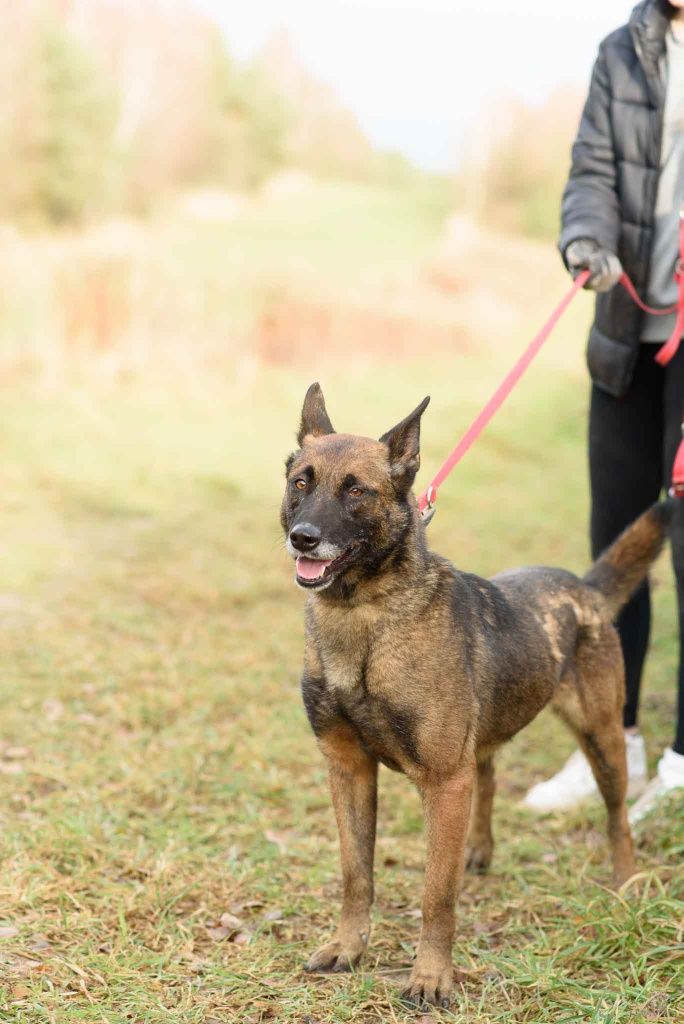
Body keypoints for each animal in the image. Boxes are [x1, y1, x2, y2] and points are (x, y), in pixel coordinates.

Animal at [278, 385, 671, 1007]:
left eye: (356, 490)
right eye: (300, 483)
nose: (303, 538)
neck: (365, 616)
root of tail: (584, 587)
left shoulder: (442, 779)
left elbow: (437, 895)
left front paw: (431, 975)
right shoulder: (349, 769)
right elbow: (356, 874)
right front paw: (348, 946)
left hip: (602, 739)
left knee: (617, 817)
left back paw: (626, 881)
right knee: (486, 775)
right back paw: (477, 848)